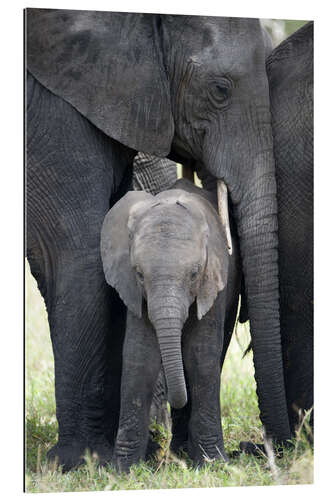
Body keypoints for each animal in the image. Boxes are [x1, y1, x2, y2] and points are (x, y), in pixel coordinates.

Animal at [100, 178, 240, 470]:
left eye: (195, 274)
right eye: (139, 274)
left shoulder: (214, 280)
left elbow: (201, 356)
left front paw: (213, 464)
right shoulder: (133, 290)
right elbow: (140, 356)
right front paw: (122, 470)